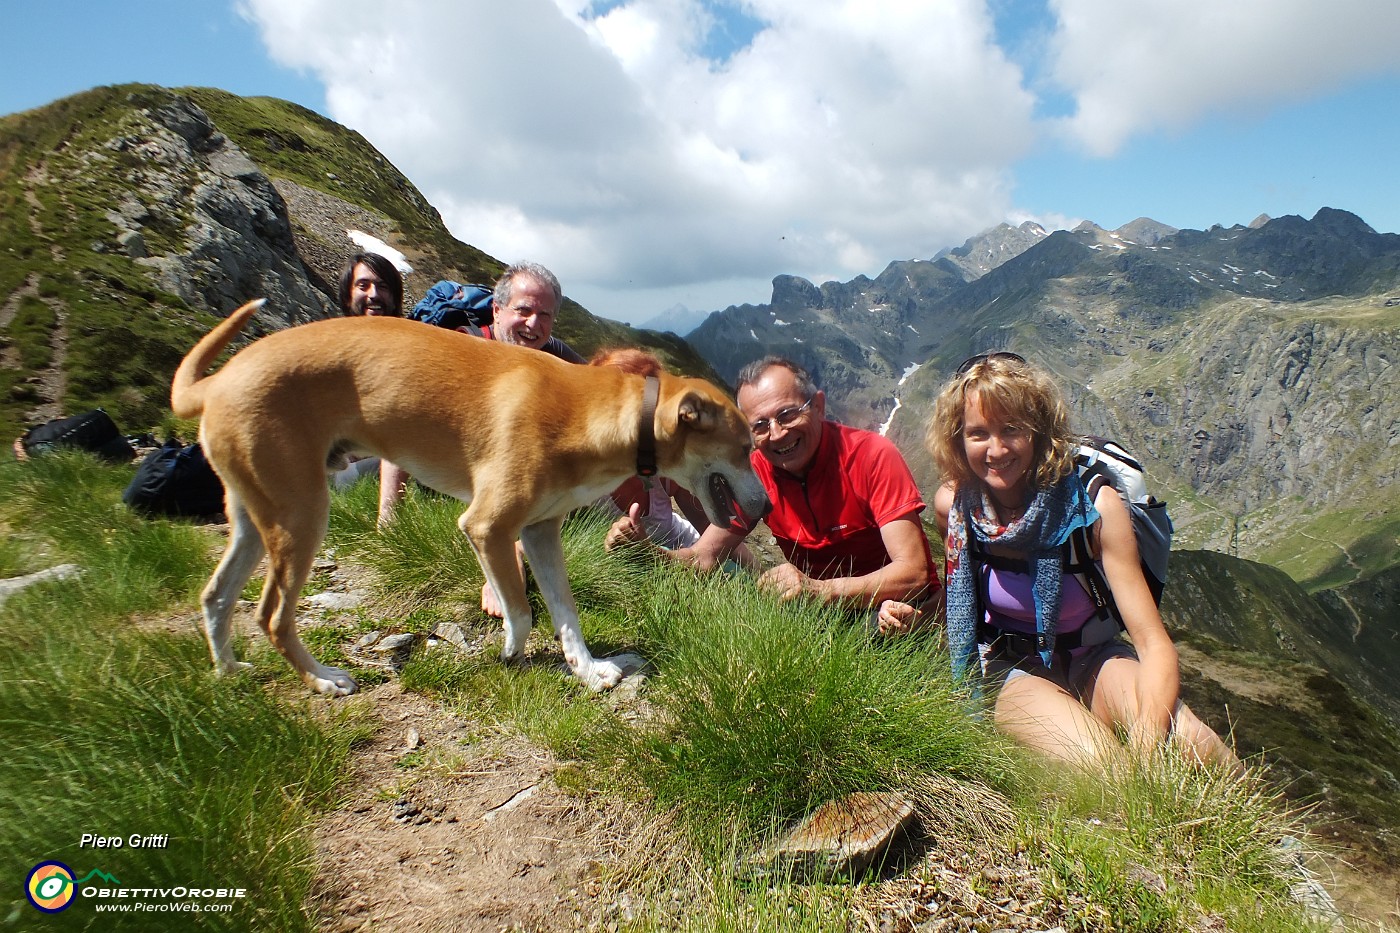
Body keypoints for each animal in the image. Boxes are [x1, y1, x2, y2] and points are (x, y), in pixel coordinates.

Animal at [172, 298, 778, 689]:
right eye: (745, 446)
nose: (769, 506)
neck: (594, 416)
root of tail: (218, 380)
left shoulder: (539, 531)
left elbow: (566, 612)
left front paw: (588, 671)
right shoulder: (488, 526)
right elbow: (523, 610)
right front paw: (510, 652)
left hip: (257, 516)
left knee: (216, 596)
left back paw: (229, 672)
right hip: (302, 514)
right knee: (271, 614)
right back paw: (322, 680)